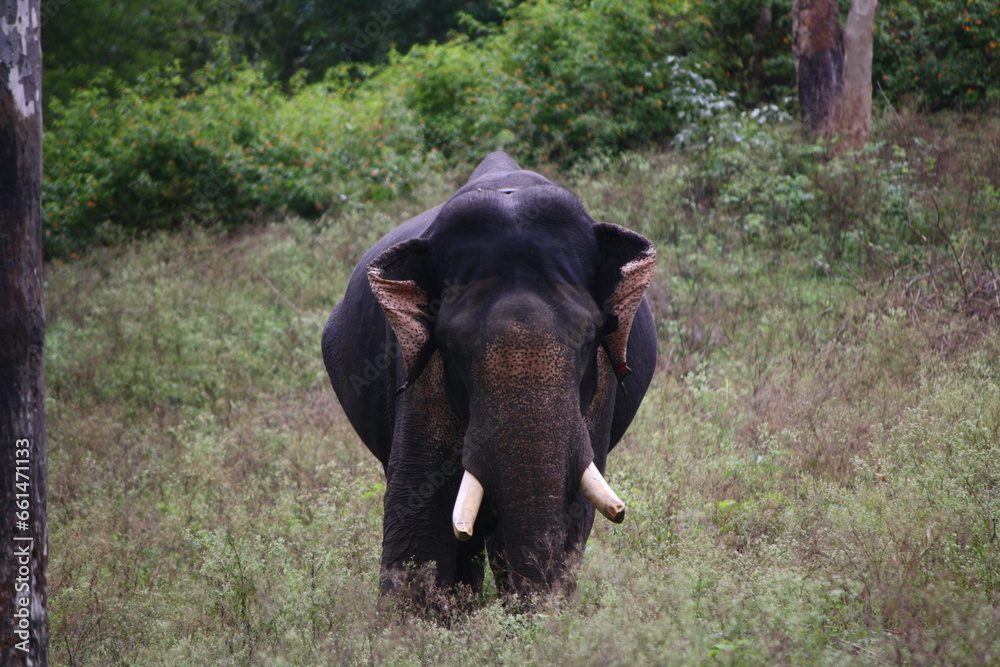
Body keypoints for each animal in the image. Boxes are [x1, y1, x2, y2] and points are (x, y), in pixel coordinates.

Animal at [321, 151, 657, 600]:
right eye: (454, 345)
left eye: (590, 337)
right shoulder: (420, 373)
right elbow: (420, 506)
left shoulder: (600, 386)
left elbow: (573, 508)